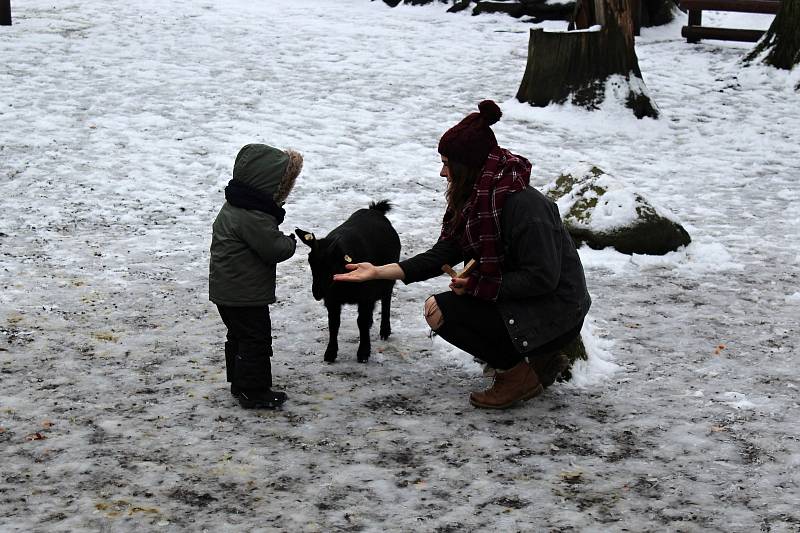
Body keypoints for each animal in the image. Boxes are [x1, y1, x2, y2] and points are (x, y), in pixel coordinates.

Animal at [296, 202, 400, 364]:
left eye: (331, 264)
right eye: (310, 261)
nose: (317, 293)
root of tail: (374, 210)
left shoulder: (365, 296)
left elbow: (361, 322)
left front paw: (363, 352)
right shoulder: (332, 299)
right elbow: (334, 324)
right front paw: (330, 353)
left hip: (387, 276)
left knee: (386, 299)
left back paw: (385, 330)